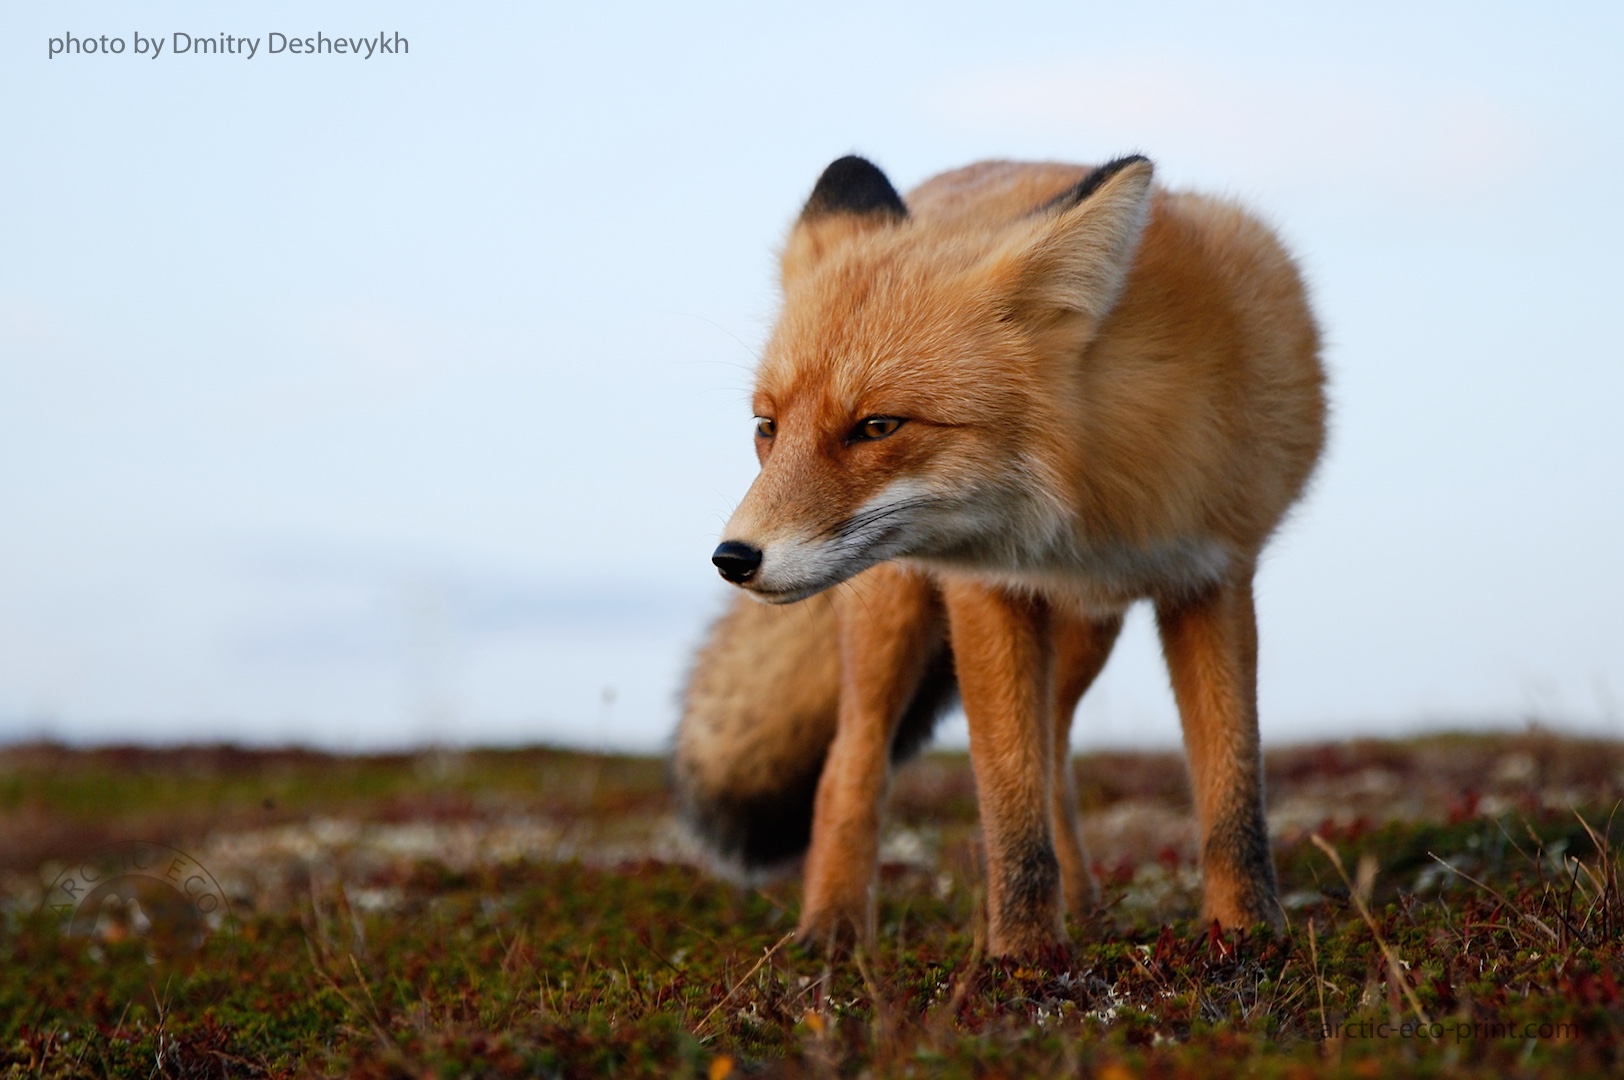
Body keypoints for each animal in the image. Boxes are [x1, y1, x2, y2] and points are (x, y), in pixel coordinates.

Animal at [672, 153, 1318, 954]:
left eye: (876, 426)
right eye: (768, 426)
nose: (732, 558)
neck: (1086, 509)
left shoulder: (1212, 576)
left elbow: (1233, 796)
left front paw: (1248, 939)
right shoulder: (985, 588)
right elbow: (1011, 811)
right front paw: (1025, 960)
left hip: (1084, 636)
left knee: (1058, 757)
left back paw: (1088, 910)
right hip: (893, 619)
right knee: (850, 760)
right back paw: (832, 931)